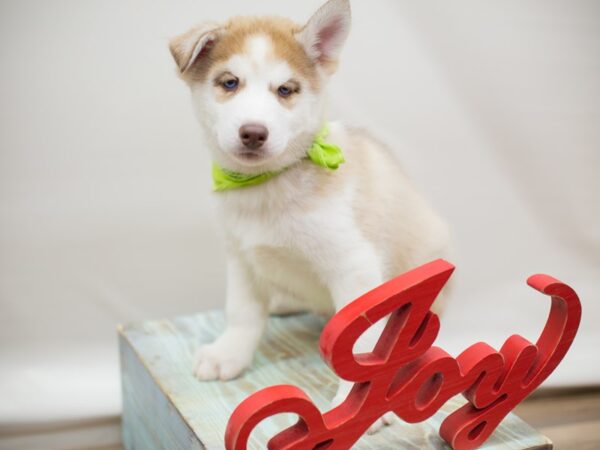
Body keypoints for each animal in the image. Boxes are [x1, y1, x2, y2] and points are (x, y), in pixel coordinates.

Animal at [169, 0, 450, 432]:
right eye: (229, 83)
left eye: (286, 90)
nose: (254, 133)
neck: (267, 187)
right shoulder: (241, 258)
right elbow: (242, 312)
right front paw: (229, 354)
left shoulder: (355, 267)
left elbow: (361, 346)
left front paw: (358, 403)